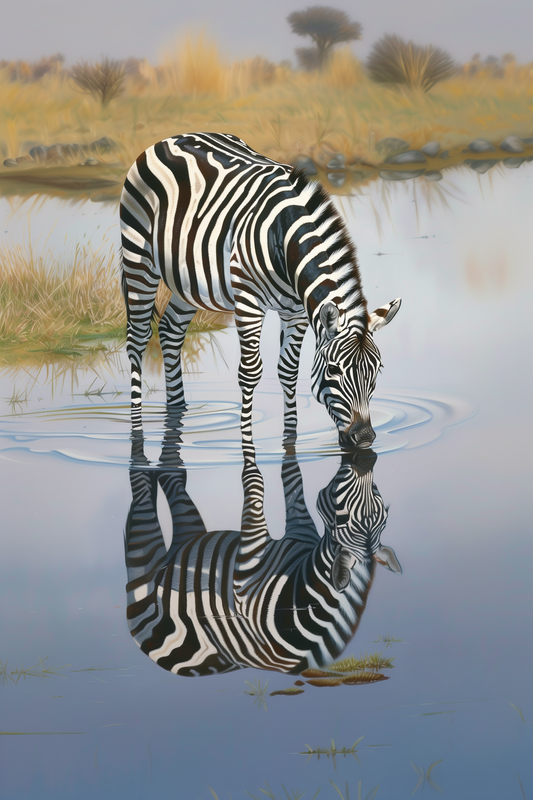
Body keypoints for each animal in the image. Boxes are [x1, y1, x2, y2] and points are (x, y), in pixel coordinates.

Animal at [119, 130, 400, 444]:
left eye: (377, 369)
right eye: (333, 369)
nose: (364, 437)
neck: (286, 238)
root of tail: (169, 138)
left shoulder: (296, 311)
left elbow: (288, 371)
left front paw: (290, 434)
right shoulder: (249, 303)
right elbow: (250, 372)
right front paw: (246, 436)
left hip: (189, 279)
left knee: (170, 331)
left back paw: (178, 409)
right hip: (138, 257)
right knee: (138, 338)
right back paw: (136, 422)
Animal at [124, 416, 400, 680]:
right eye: (386, 516)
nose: (362, 465)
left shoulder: (245, 570)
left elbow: (255, 480)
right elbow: (289, 476)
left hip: (156, 561)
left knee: (157, 483)